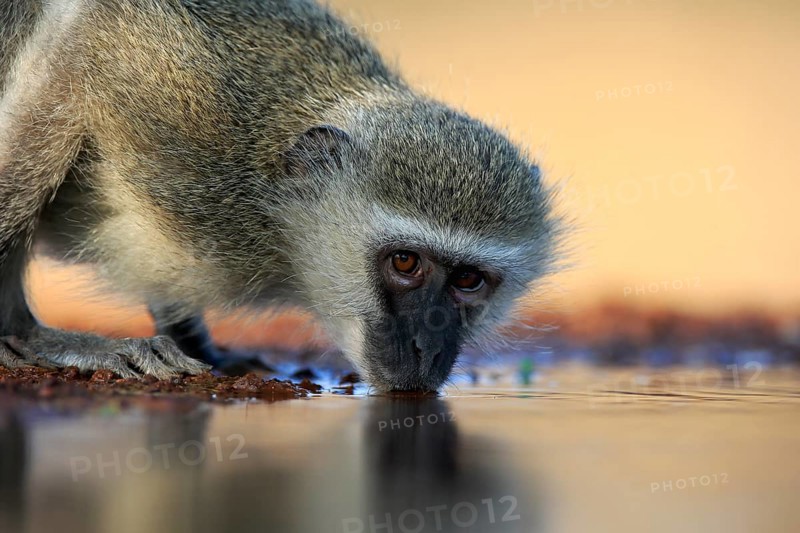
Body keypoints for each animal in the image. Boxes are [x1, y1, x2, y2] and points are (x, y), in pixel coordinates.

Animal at [0, 0, 561, 392]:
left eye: (469, 280)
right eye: (405, 262)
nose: (428, 346)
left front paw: (203, 346)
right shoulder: (195, 120)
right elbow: (86, 29)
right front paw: (25, 334)